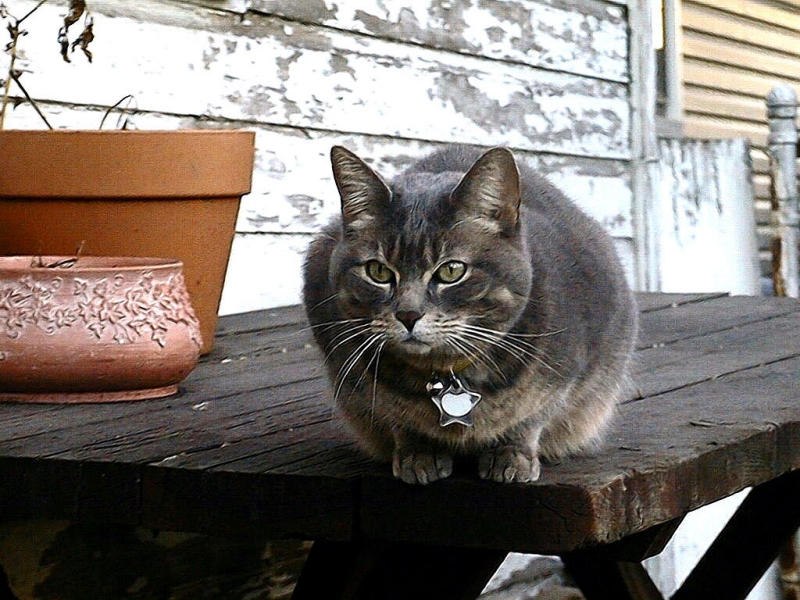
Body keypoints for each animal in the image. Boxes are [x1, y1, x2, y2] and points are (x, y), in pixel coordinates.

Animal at [304, 145, 640, 488]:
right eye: (378, 272)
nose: (408, 314)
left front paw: (511, 455)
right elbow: (397, 417)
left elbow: (530, 417)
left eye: (452, 271)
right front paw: (418, 453)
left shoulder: (564, 375)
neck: (446, 371)